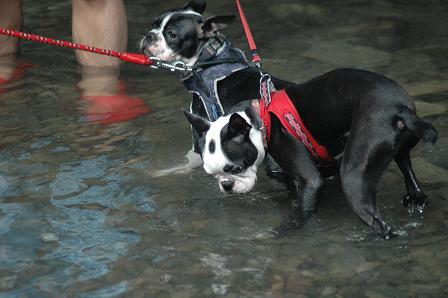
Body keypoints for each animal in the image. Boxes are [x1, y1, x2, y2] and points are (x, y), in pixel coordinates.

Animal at [141, 0, 438, 234]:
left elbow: (186, 159)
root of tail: (401, 109)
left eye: (171, 34)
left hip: (354, 172)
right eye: (154, 25)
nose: (149, 36)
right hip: (400, 155)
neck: (212, 60)